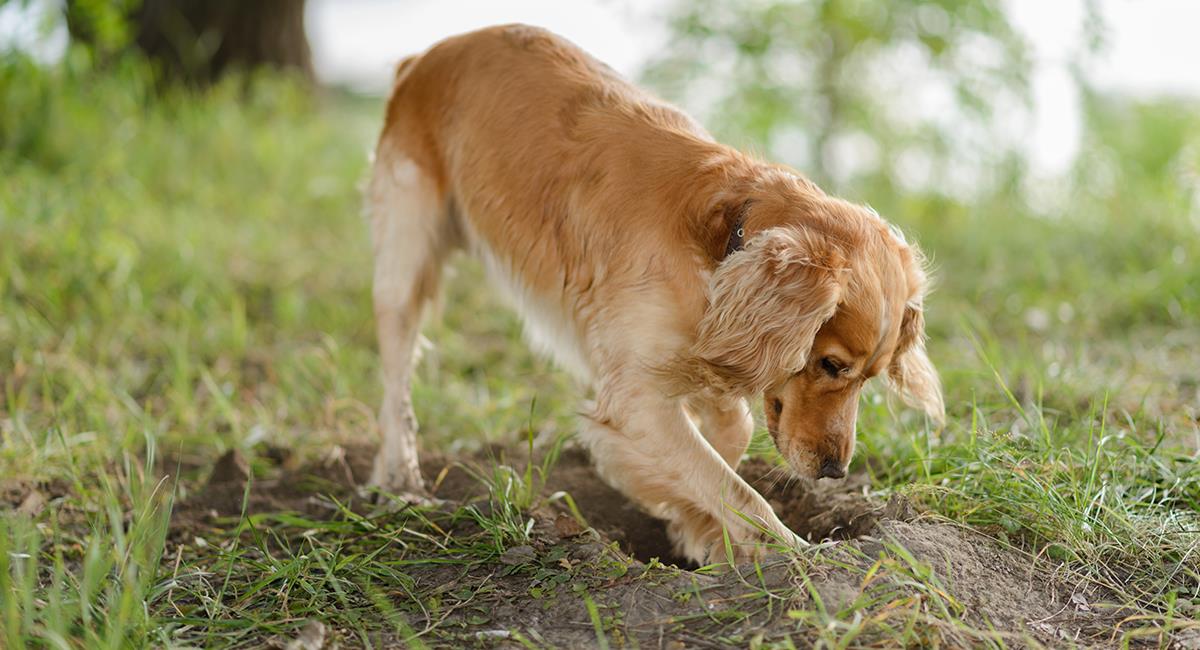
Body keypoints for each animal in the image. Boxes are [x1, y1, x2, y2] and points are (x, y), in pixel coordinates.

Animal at [360, 24, 940, 566]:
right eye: (831, 365)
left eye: (868, 378)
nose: (835, 471)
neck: (722, 242)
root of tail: (429, 54)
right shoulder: (636, 395)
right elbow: (737, 490)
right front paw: (789, 551)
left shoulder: (703, 352)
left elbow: (728, 439)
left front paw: (696, 529)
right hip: (404, 263)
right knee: (395, 388)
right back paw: (400, 483)